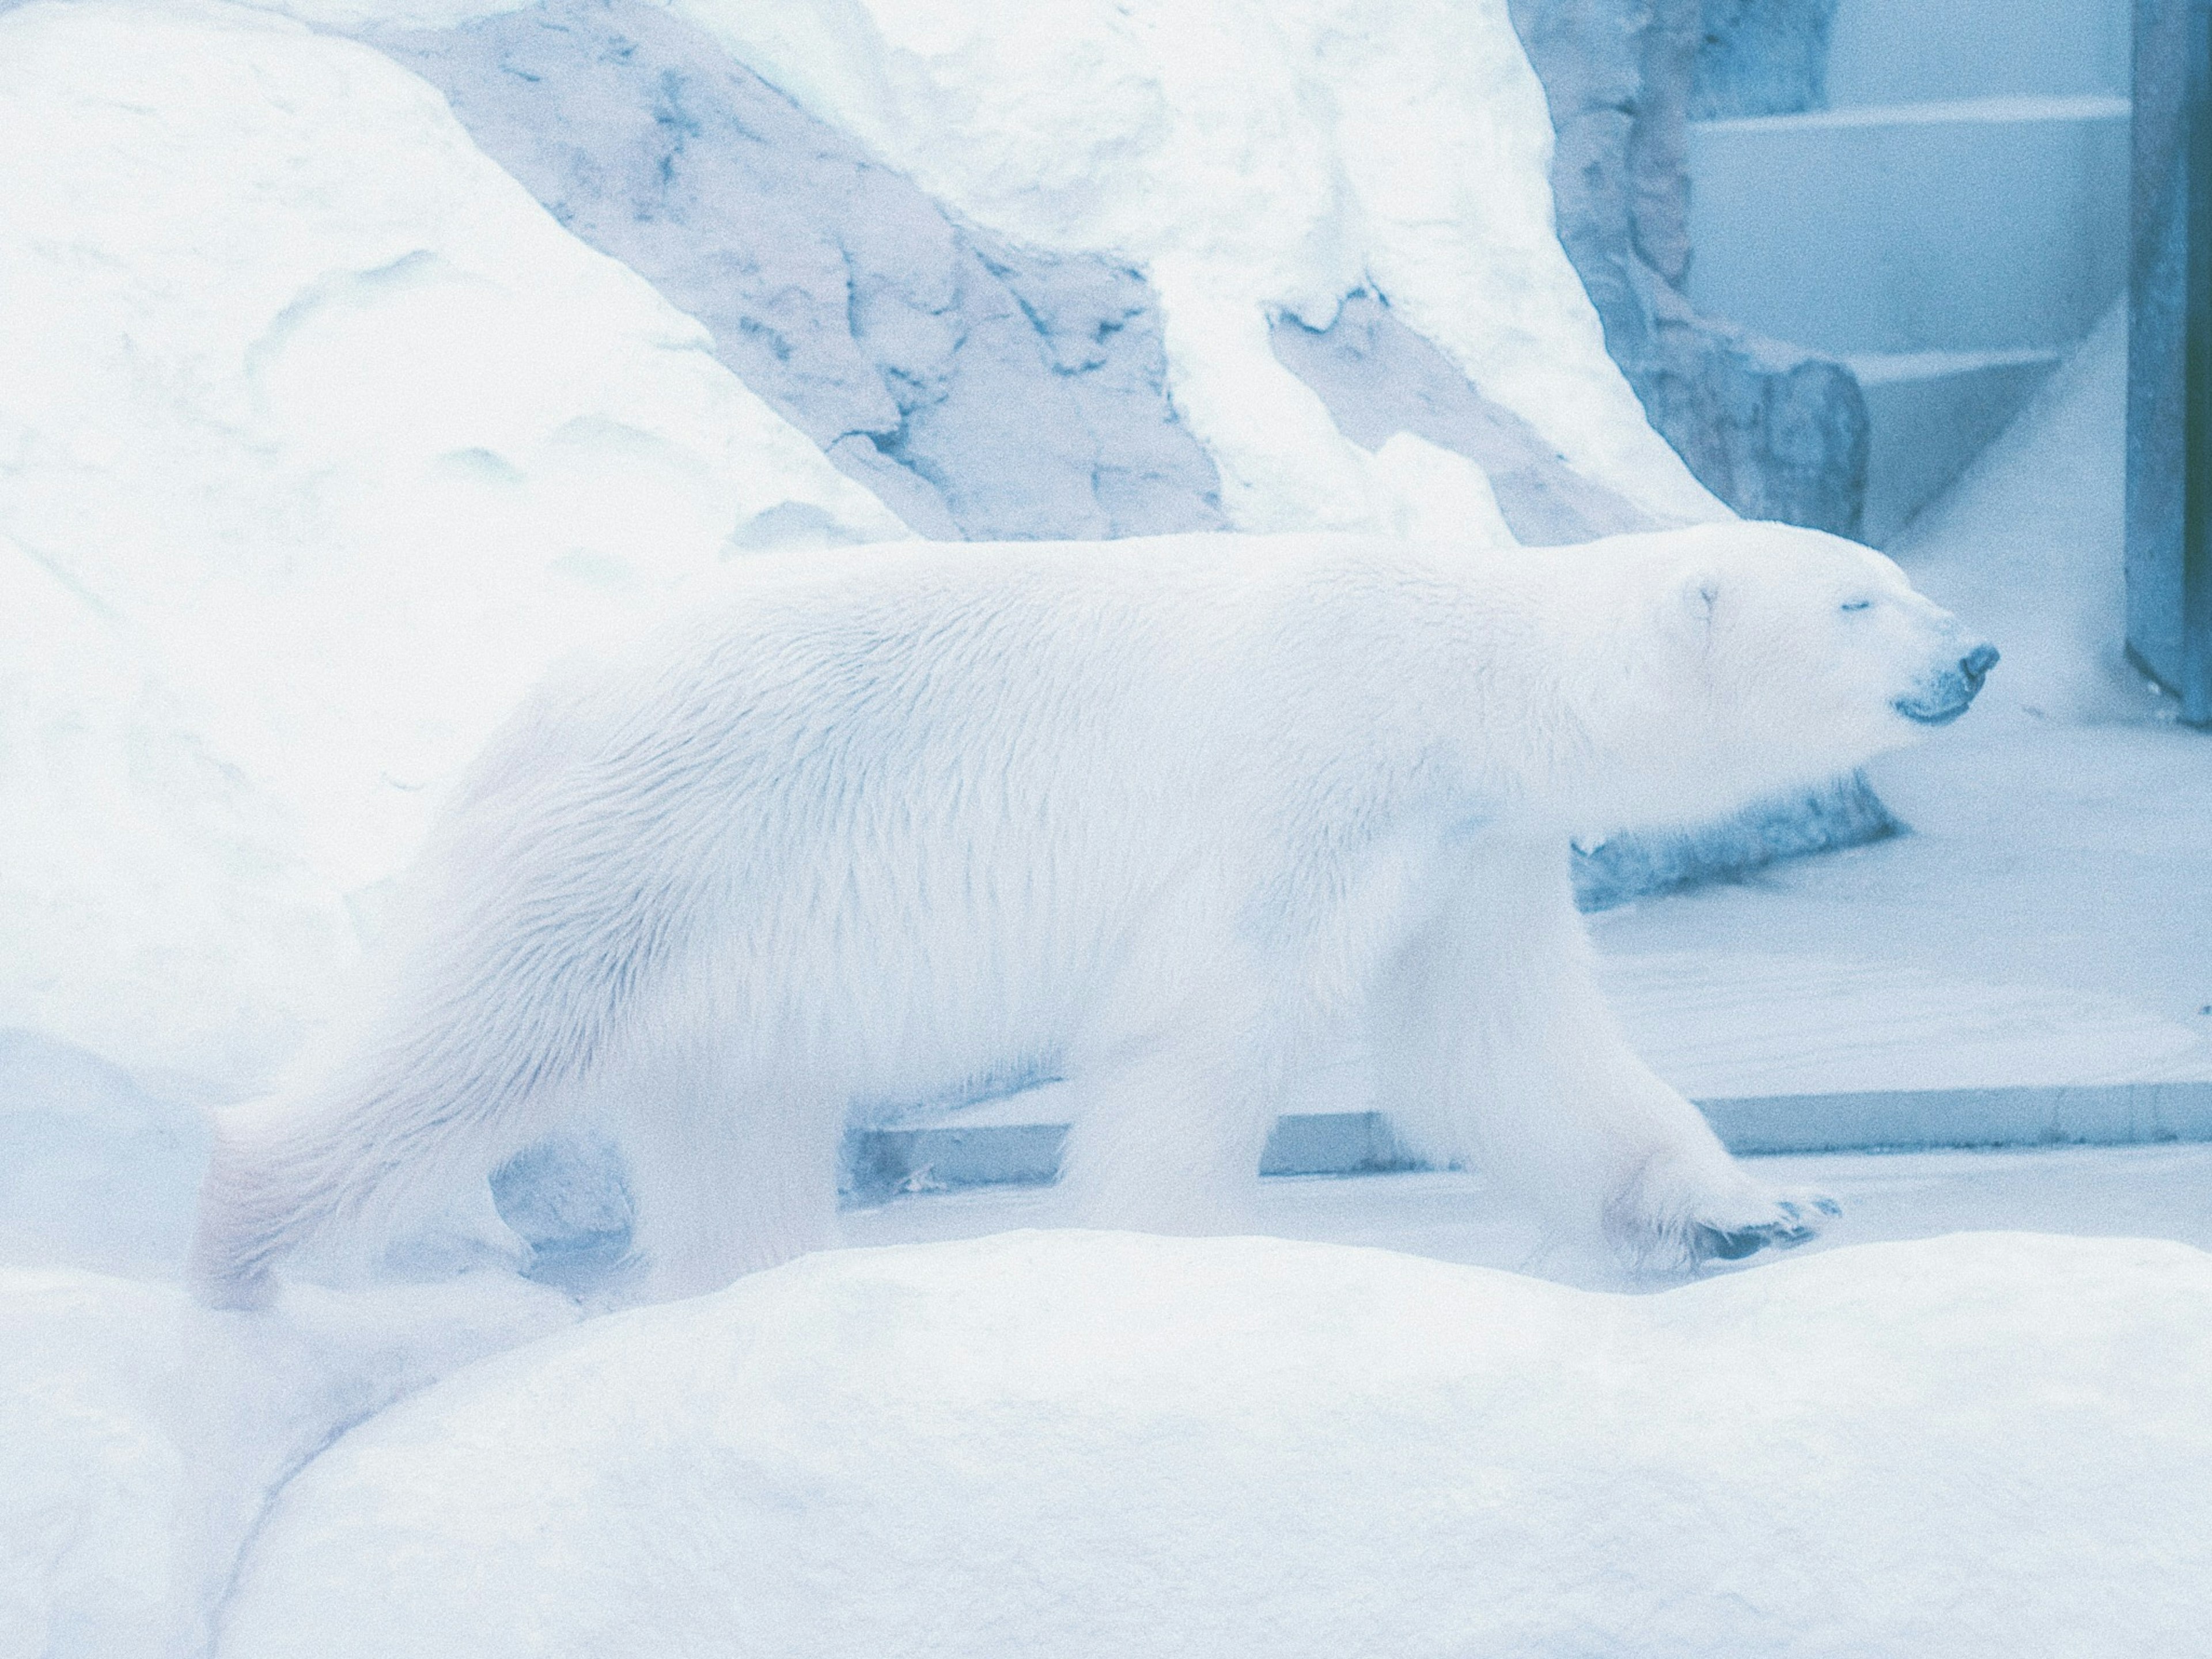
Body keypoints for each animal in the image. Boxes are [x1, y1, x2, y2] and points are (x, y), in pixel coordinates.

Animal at [190, 526, 1991, 1309]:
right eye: (1860, 597)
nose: (1973, 651)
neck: (1464, 663)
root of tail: (529, 700)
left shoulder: (1471, 852)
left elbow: (1507, 1049)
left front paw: (1756, 1212)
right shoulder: (1315, 780)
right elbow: (1202, 1023)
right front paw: (1165, 1267)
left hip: (736, 964)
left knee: (732, 1134)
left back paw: (752, 1289)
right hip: (652, 841)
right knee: (475, 1037)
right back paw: (237, 1235)